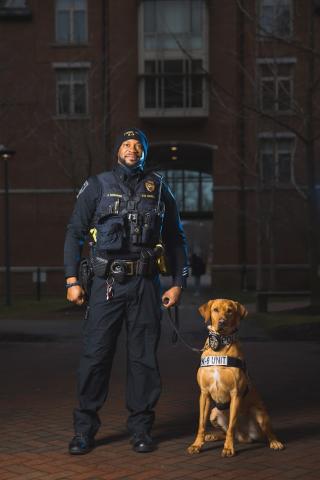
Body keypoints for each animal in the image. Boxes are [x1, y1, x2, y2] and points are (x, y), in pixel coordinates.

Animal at [188, 296, 284, 458]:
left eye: (230, 311)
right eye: (215, 310)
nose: (222, 322)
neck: (219, 347)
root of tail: (244, 436)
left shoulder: (236, 394)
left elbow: (232, 426)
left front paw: (228, 448)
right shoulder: (204, 394)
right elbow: (201, 424)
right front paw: (197, 445)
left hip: (259, 413)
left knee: (268, 433)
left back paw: (275, 442)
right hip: (213, 412)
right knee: (224, 431)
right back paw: (212, 435)